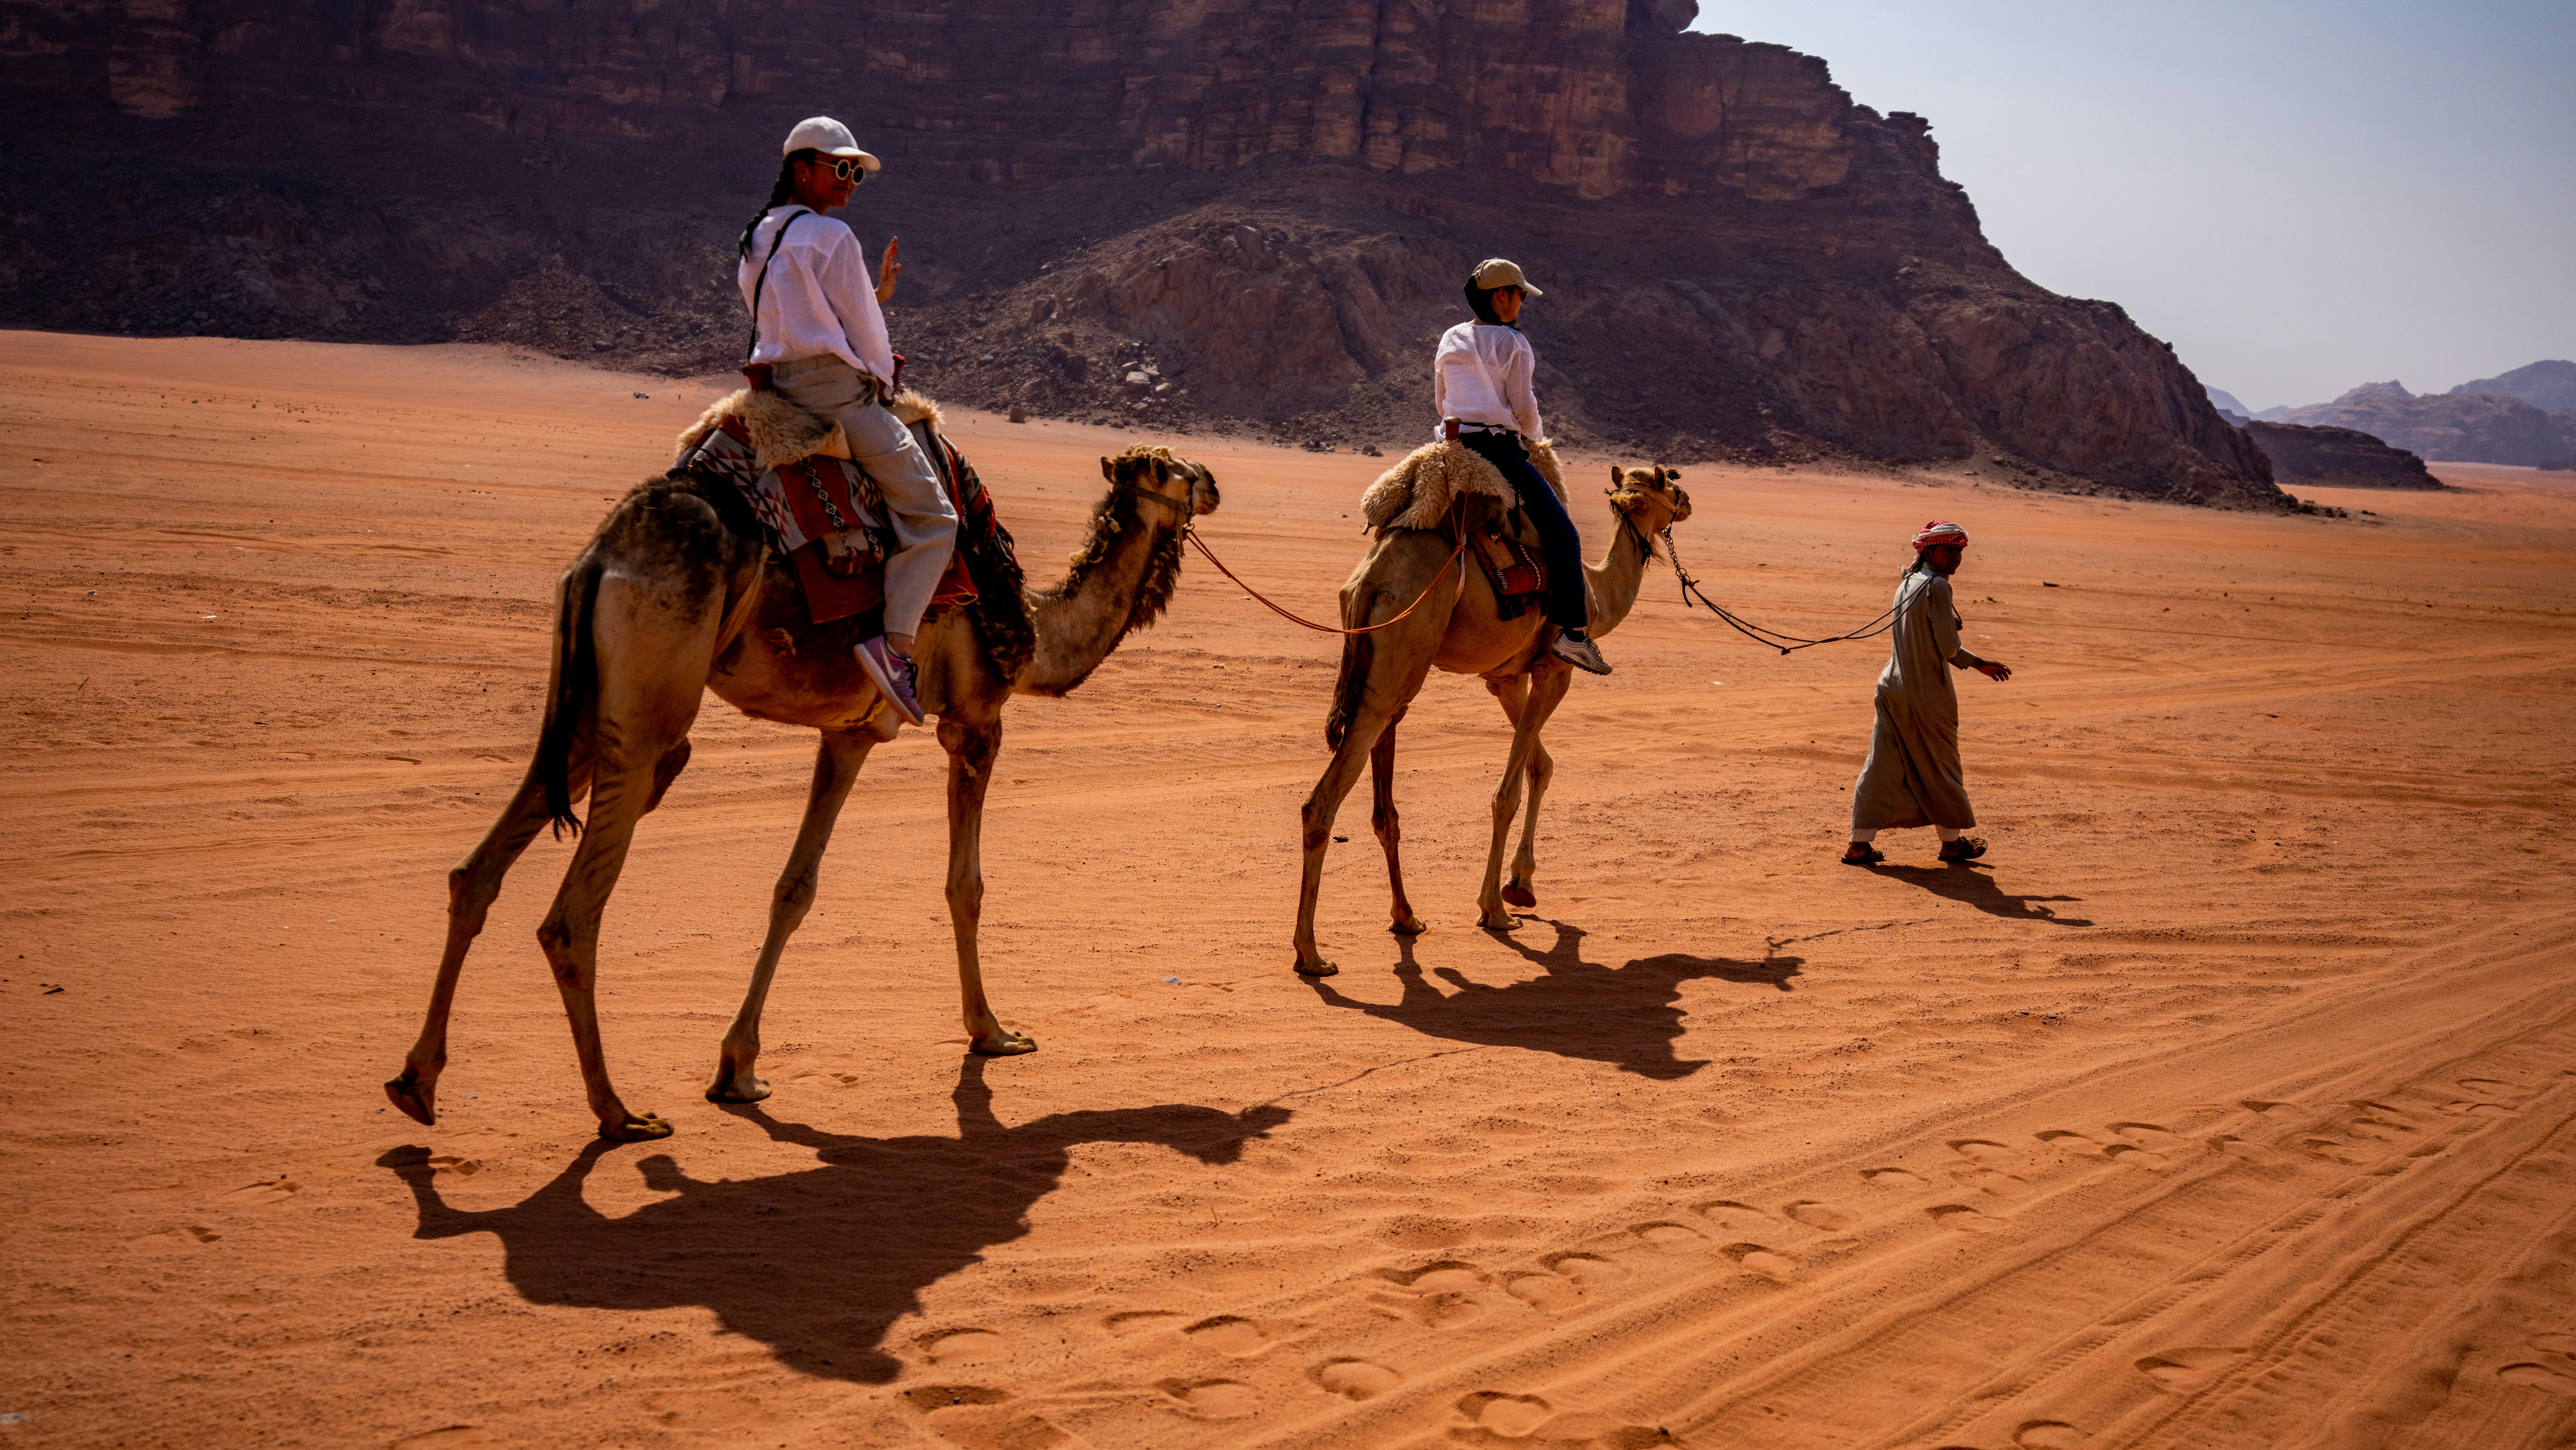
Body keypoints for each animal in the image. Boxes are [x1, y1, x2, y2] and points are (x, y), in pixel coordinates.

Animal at [385, 402, 1218, 1141]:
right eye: (1166, 469)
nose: (1212, 480)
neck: (1038, 630)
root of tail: (601, 558)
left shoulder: (849, 735)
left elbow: (794, 888)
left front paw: (737, 1068)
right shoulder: (977, 721)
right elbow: (966, 886)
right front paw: (993, 1030)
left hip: (586, 710)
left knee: (476, 872)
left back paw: (417, 1083)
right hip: (649, 714)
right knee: (572, 914)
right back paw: (619, 1112)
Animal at [1291, 458, 1691, 976]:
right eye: (1672, 486)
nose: (1687, 503)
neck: (1598, 593)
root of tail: (1370, 583)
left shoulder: (1505, 679)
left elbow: (1541, 766)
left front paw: (1521, 886)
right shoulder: (1554, 670)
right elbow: (1508, 792)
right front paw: (1497, 909)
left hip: (1387, 667)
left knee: (1383, 807)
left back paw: (1406, 919)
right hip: (1396, 666)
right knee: (1322, 803)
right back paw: (1311, 953)